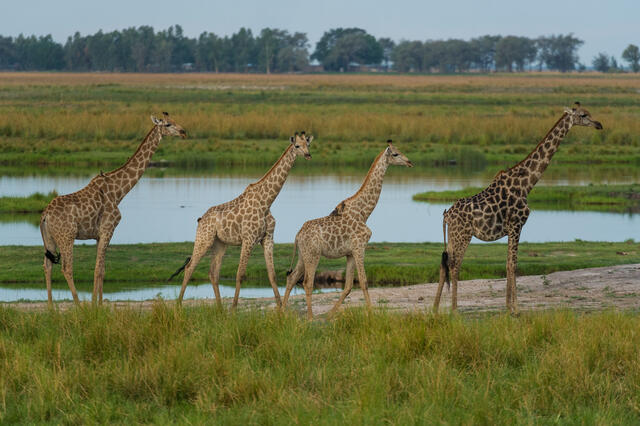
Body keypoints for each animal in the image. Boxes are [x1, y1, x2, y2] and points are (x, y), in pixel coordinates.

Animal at [40, 113, 187, 306]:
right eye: (168, 124)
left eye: (177, 121)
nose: (184, 132)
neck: (118, 191)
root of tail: (45, 215)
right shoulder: (108, 229)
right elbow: (98, 270)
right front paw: (94, 306)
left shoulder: (99, 235)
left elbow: (102, 269)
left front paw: (100, 304)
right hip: (67, 237)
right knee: (66, 268)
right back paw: (78, 306)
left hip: (49, 239)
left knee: (47, 265)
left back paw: (51, 308)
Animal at [170, 132, 313, 308]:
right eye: (297, 146)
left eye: (308, 145)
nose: (308, 155)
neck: (266, 202)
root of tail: (200, 219)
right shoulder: (248, 239)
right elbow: (240, 274)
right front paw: (233, 308)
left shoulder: (268, 238)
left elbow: (272, 275)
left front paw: (280, 308)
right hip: (204, 239)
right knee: (190, 267)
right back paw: (178, 306)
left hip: (220, 243)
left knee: (213, 273)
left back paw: (220, 308)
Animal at [282, 140, 413, 319]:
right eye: (395, 154)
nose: (409, 162)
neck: (364, 212)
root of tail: (297, 235)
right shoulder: (359, 247)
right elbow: (364, 282)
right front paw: (371, 314)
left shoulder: (350, 253)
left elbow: (349, 286)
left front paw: (330, 314)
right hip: (313, 255)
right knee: (307, 283)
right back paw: (310, 317)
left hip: (303, 255)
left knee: (292, 278)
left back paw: (280, 312)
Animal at [433, 103, 603, 314]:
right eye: (583, 115)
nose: (599, 125)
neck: (527, 183)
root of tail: (446, 215)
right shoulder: (517, 225)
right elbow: (513, 265)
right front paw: (516, 308)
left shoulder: (511, 228)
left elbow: (507, 264)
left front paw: (508, 307)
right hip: (463, 235)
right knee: (455, 265)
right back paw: (454, 309)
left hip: (453, 236)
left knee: (444, 264)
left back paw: (435, 308)